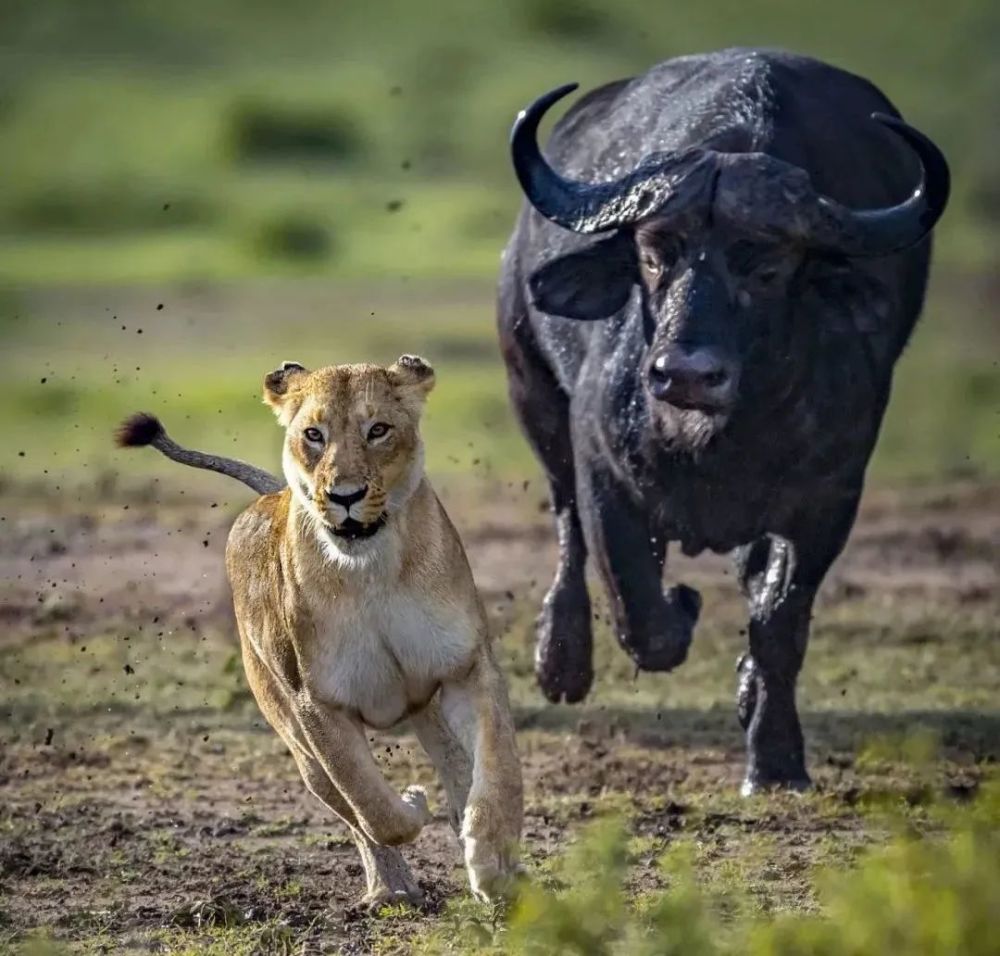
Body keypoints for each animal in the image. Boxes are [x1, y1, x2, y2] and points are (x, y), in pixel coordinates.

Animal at [496, 46, 948, 792]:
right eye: (654, 254)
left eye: (765, 267)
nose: (683, 373)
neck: (713, 441)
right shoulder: (601, 470)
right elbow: (639, 611)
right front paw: (679, 608)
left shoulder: (829, 501)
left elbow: (779, 625)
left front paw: (776, 759)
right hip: (530, 390)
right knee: (566, 524)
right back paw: (561, 660)